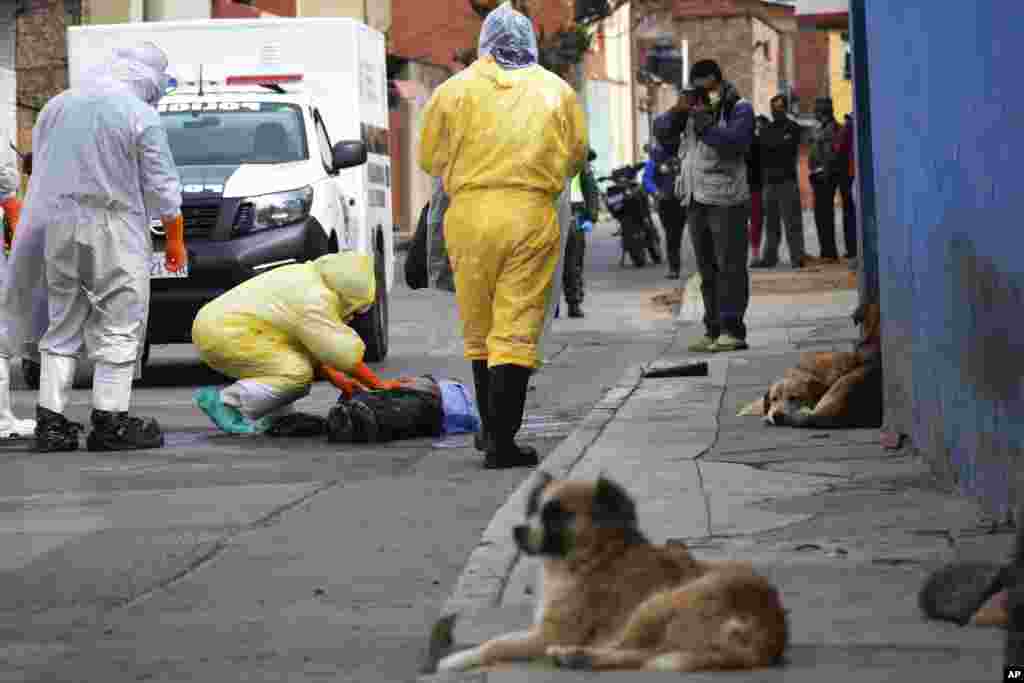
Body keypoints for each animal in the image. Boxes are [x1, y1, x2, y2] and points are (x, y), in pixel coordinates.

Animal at [436, 475, 786, 671]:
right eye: (535, 509)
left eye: (557, 514)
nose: (517, 530)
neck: (594, 555)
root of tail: (768, 632)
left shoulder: (552, 634)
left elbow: (495, 643)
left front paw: (457, 660)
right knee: (639, 655)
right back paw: (577, 658)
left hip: (659, 603)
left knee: (633, 651)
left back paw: (575, 655)